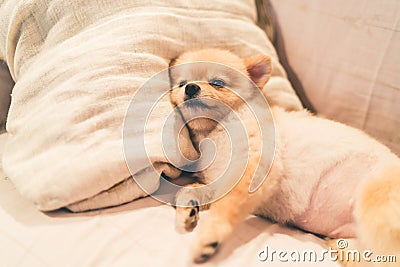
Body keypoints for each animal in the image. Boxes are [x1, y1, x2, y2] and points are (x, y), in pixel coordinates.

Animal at [169, 49, 400, 266]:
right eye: (182, 83)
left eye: (217, 83)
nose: (190, 87)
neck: (217, 130)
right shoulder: (218, 181)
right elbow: (188, 190)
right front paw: (187, 211)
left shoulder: (252, 171)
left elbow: (226, 208)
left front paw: (209, 236)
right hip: (352, 245)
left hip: (376, 205)